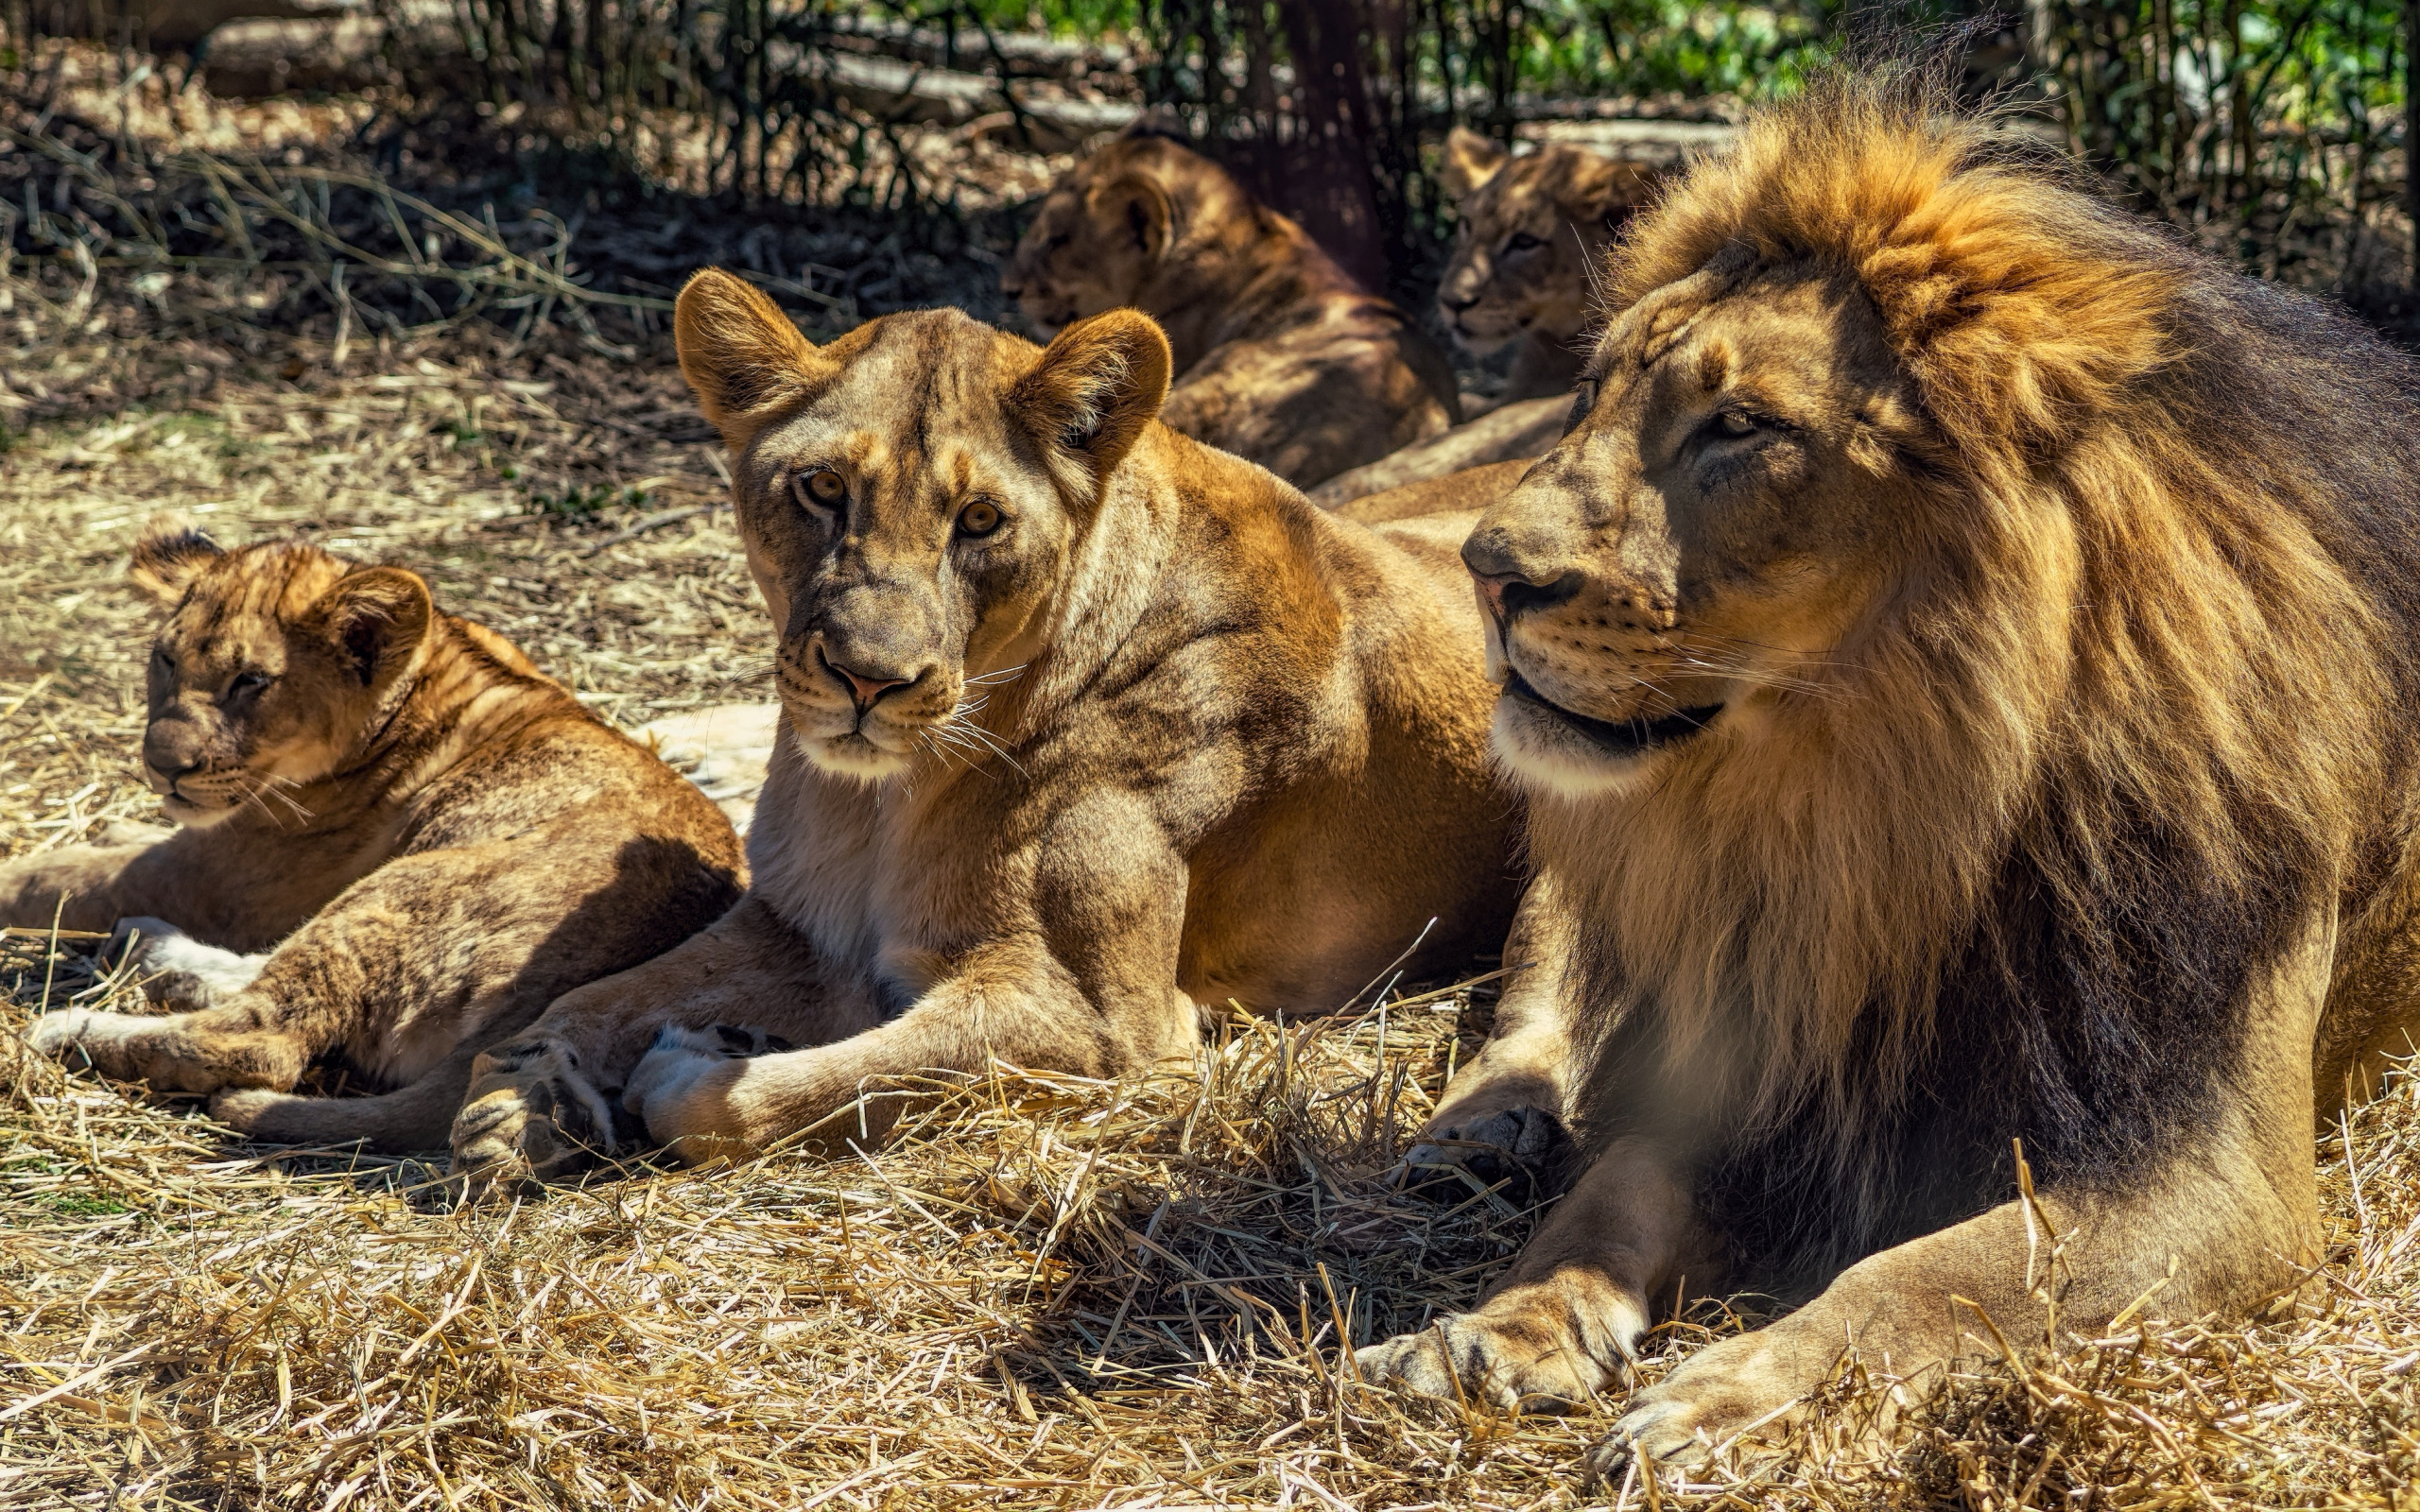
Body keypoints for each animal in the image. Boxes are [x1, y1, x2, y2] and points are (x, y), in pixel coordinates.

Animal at [7, 524, 735, 1151]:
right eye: (164, 660)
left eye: (252, 681)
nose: (161, 765)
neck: (432, 674)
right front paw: (124, 826)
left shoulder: (215, 877)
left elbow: (58, 876)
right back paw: (154, 954)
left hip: (405, 883)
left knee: (263, 1036)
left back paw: (74, 1025)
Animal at [1364, 74, 2420, 1470]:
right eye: (1588, 391)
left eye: (1739, 427)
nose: (1485, 574)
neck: (1879, 806)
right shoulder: (1770, 1046)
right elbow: (1612, 1189)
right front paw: (1498, 1324)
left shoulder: (2214, 1172)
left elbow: (1925, 1274)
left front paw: (1725, 1398)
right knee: (1538, 1003)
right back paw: (1478, 1133)